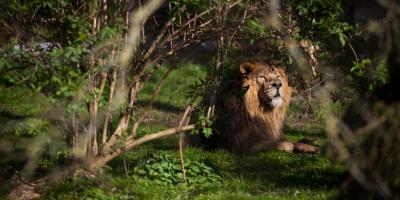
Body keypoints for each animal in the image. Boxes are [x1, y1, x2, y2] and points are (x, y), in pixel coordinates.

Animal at [189, 60, 318, 154]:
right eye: (262, 77)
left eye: (278, 76)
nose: (278, 84)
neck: (264, 113)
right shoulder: (240, 145)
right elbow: (277, 144)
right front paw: (289, 145)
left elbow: (293, 141)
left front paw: (310, 145)